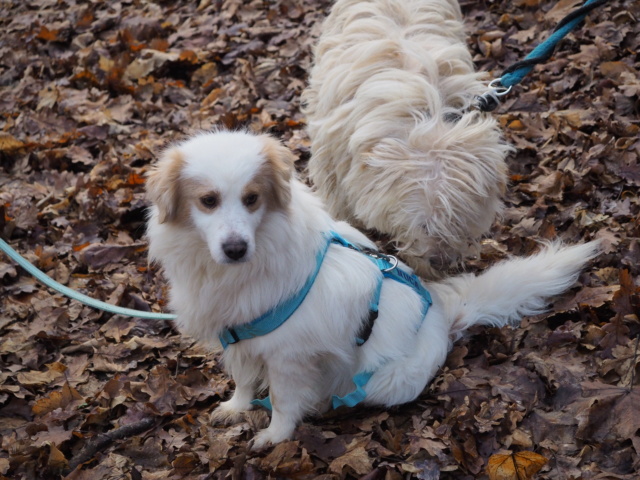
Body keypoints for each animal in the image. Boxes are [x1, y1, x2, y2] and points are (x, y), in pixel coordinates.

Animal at [148, 130, 596, 450]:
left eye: (252, 198)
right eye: (208, 201)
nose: (235, 248)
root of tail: (443, 317)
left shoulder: (289, 357)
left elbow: (284, 402)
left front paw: (275, 437)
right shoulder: (238, 336)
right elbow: (242, 381)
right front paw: (236, 408)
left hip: (386, 381)